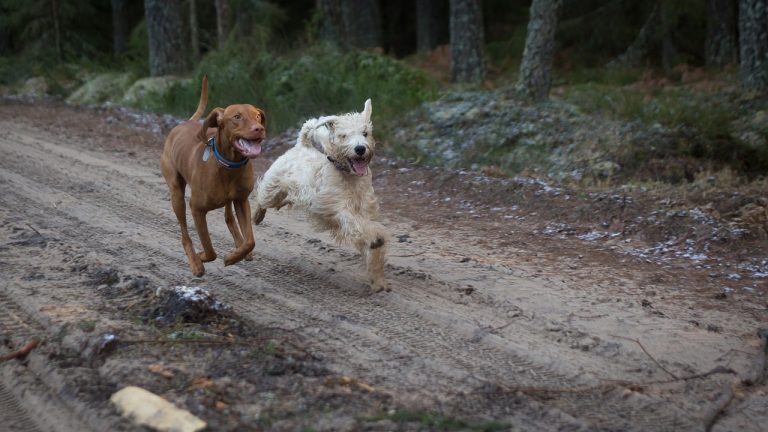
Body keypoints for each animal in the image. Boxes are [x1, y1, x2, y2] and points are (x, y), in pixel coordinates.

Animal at [160, 75, 268, 276]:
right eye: (237, 116)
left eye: (257, 116)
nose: (259, 128)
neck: (229, 166)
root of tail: (183, 124)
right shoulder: (196, 209)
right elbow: (209, 248)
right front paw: (202, 257)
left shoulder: (242, 200)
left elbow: (250, 241)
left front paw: (234, 256)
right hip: (177, 194)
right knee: (185, 234)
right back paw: (194, 262)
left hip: (229, 200)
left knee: (229, 218)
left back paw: (239, 246)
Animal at [255, 99, 390, 292]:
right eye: (343, 135)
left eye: (365, 133)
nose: (360, 149)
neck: (349, 177)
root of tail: (301, 145)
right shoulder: (339, 209)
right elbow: (358, 225)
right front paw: (376, 239)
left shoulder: (366, 212)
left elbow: (373, 248)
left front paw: (378, 281)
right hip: (273, 188)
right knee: (262, 199)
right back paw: (257, 216)